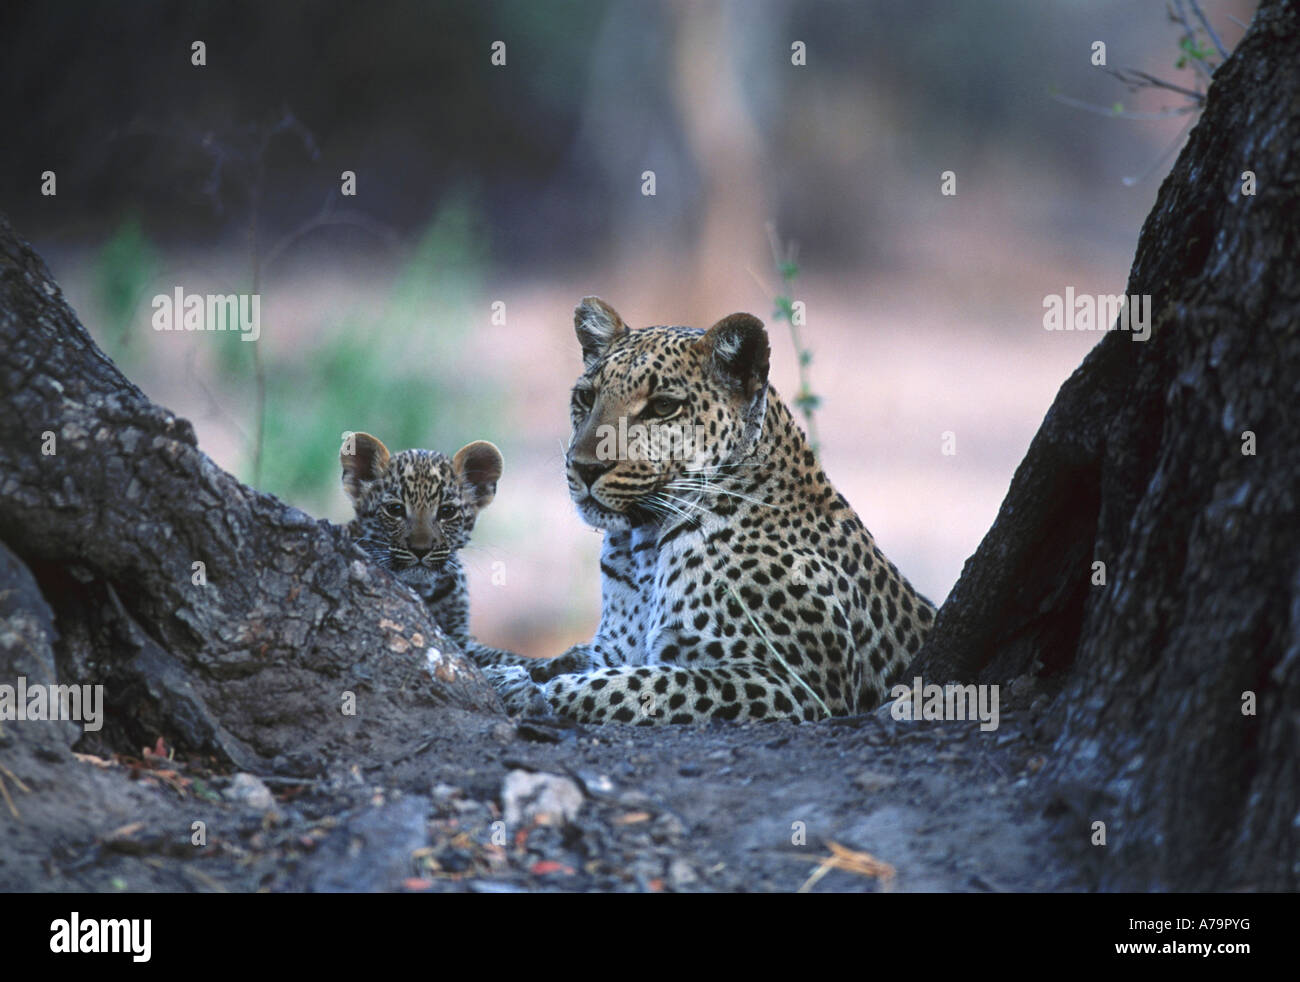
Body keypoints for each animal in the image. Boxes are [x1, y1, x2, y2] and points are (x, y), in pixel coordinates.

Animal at [340, 431, 532, 670]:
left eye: (447, 512)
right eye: (395, 509)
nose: (420, 549)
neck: (424, 587)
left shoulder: (459, 639)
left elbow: (505, 656)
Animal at [487, 296, 936, 724]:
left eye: (663, 407)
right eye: (586, 396)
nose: (583, 467)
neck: (642, 547)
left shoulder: (800, 684)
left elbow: (632, 685)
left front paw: (524, 689)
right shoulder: (612, 649)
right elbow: (570, 660)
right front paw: (508, 671)